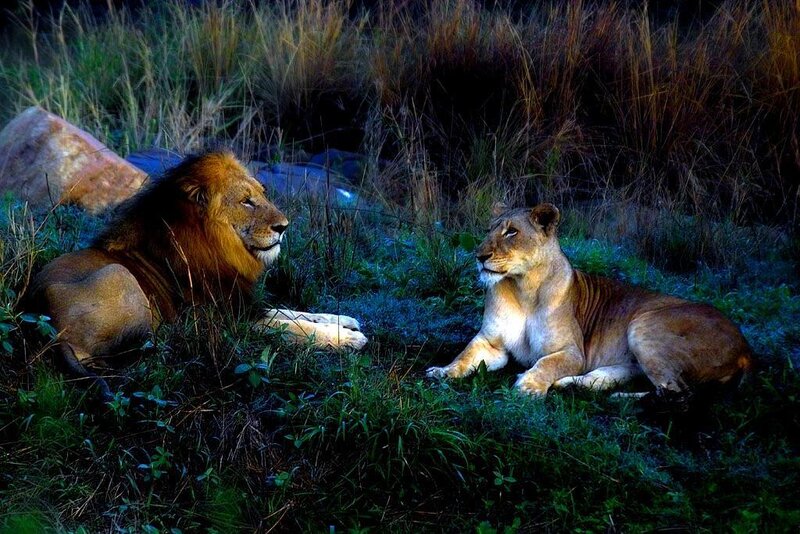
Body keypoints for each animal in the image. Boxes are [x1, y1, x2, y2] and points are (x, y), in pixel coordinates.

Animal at [26, 151, 366, 400]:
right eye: (246, 201)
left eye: (262, 194)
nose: (284, 227)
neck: (218, 246)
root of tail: (42, 319)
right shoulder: (226, 320)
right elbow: (291, 328)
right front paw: (348, 339)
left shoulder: (241, 303)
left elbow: (294, 313)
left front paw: (345, 320)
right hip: (119, 273)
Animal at [427, 203, 752, 398]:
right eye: (488, 230)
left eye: (511, 232)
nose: (479, 256)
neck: (522, 288)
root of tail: (746, 346)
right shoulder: (490, 343)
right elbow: (464, 356)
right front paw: (441, 371)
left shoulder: (572, 352)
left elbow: (546, 363)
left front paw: (529, 385)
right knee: (618, 378)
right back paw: (572, 385)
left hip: (644, 324)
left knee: (677, 393)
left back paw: (618, 399)